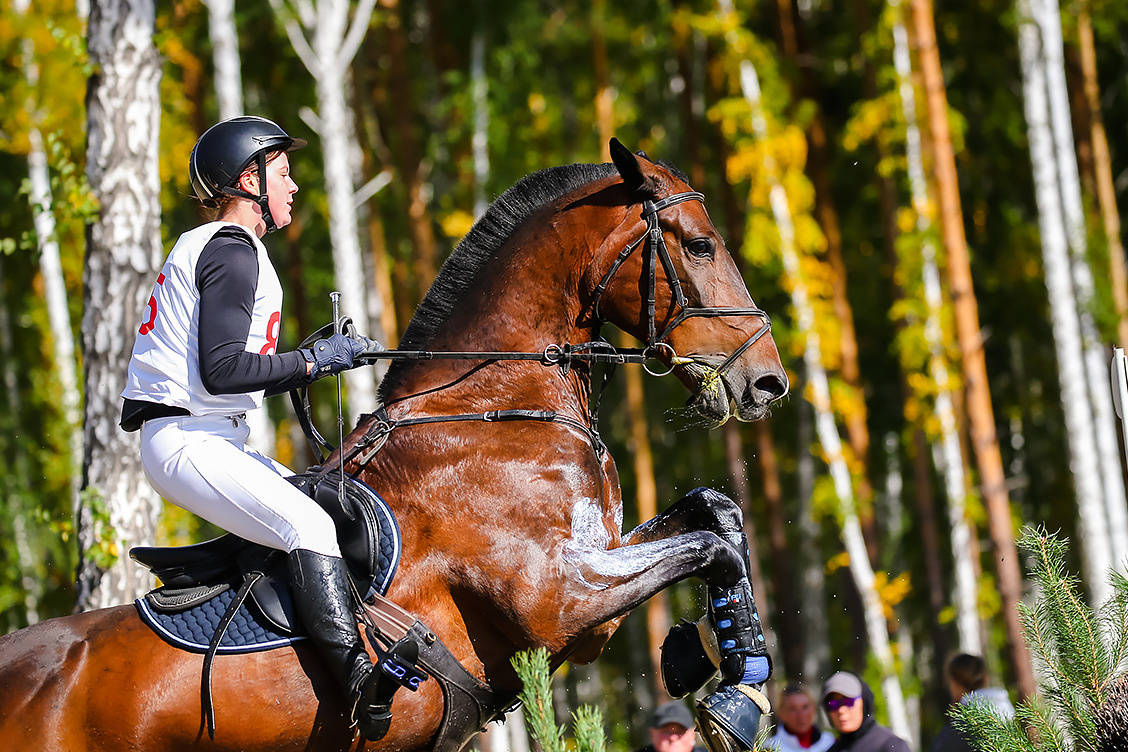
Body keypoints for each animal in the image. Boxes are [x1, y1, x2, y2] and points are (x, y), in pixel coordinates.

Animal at [0, 140, 785, 752]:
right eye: (699, 245)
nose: (766, 380)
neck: (489, 403)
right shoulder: (558, 600)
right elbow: (708, 546)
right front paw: (734, 697)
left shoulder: (596, 568)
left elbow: (717, 518)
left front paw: (726, 662)